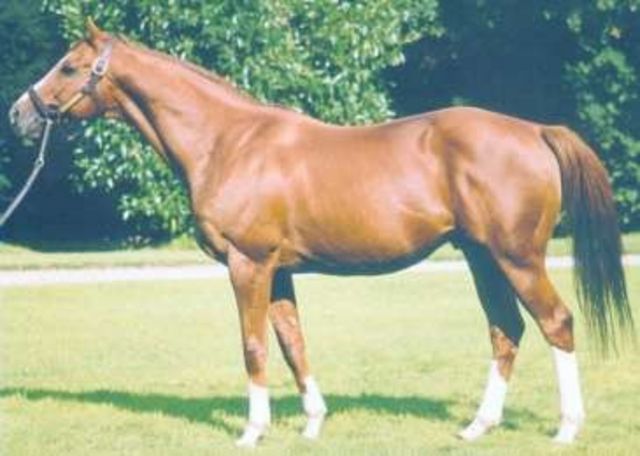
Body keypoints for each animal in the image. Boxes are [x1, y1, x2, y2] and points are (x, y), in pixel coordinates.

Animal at [9, 20, 632, 447]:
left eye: (69, 67)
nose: (19, 113)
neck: (229, 141)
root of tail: (534, 130)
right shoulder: (278, 270)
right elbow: (293, 343)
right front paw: (311, 423)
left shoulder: (249, 264)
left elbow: (254, 345)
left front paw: (252, 431)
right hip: (482, 257)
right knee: (506, 331)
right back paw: (478, 426)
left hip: (516, 257)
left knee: (556, 323)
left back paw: (566, 429)